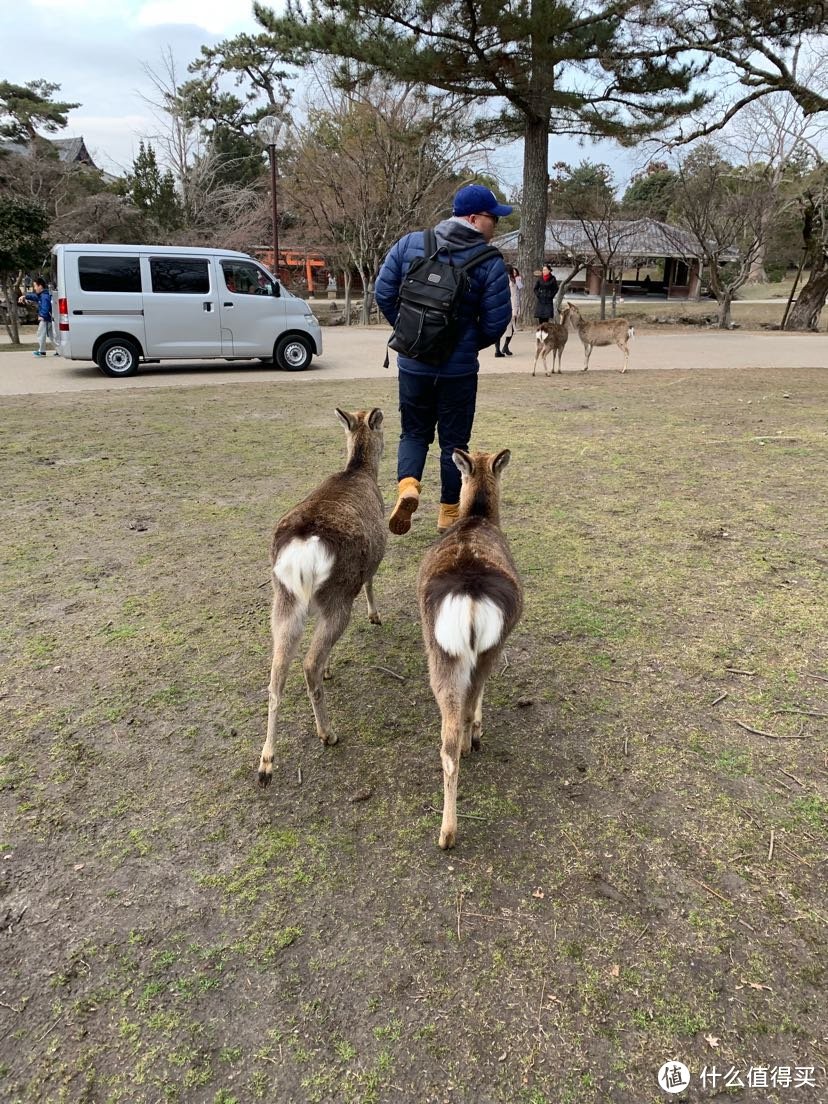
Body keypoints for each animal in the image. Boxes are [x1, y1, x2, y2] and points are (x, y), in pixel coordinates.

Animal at [258, 408, 388, 786]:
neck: (360, 472)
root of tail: (303, 546)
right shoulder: (373, 560)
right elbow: (372, 583)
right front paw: (375, 615)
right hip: (338, 597)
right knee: (308, 663)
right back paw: (328, 733)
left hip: (284, 599)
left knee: (276, 672)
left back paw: (266, 762)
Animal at [417, 448, 521, 852]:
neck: (478, 517)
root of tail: (471, 593)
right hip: (485, 651)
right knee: (467, 706)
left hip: (443, 654)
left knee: (447, 741)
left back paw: (446, 832)